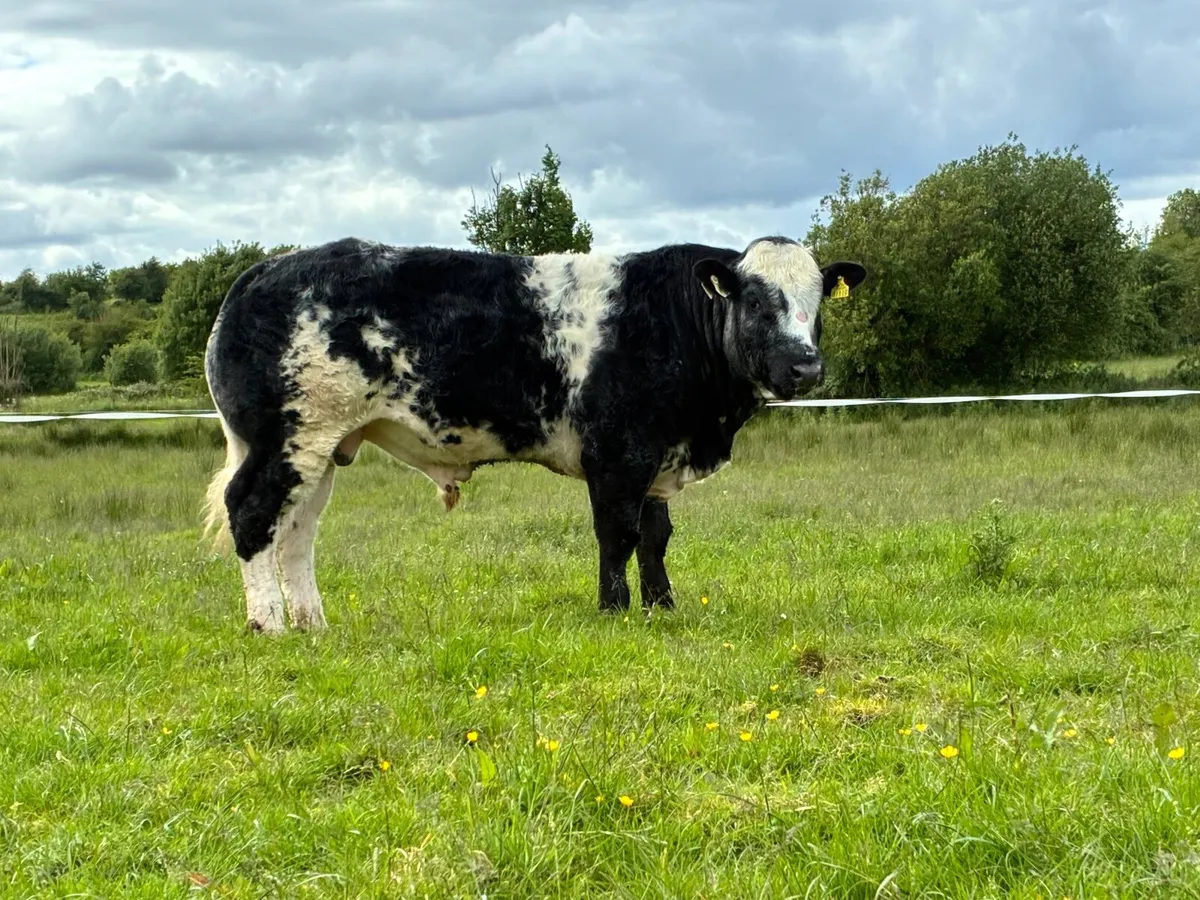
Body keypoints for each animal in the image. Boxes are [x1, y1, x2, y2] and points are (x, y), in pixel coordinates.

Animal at [201, 235, 866, 634]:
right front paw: (614, 610)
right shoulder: (618, 452)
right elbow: (618, 534)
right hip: (287, 438)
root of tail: (265, 270)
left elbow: (656, 538)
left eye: (818, 305)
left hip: (320, 447)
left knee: (296, 530)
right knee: (252, 513)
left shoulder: (656, 455)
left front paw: (662, 606)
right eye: (755, 302)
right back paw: (268, 624)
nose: (804, 367)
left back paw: (311, 623)